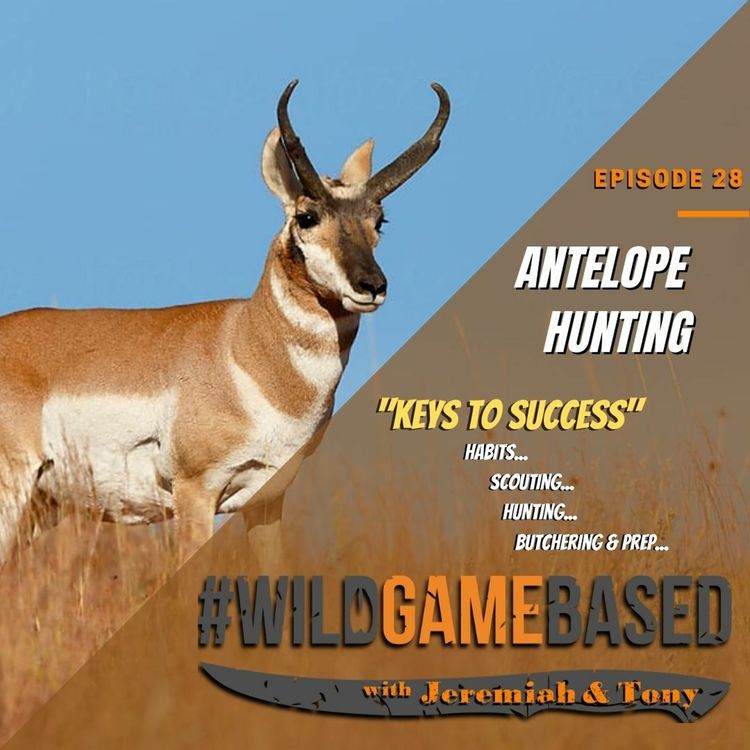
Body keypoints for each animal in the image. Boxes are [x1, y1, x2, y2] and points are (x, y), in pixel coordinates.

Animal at [0, 80, 450, 564]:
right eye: (307, 217)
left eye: (379, 220)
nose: (371, 285)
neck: (243, 346)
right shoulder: (195, 493)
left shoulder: (267, 500)